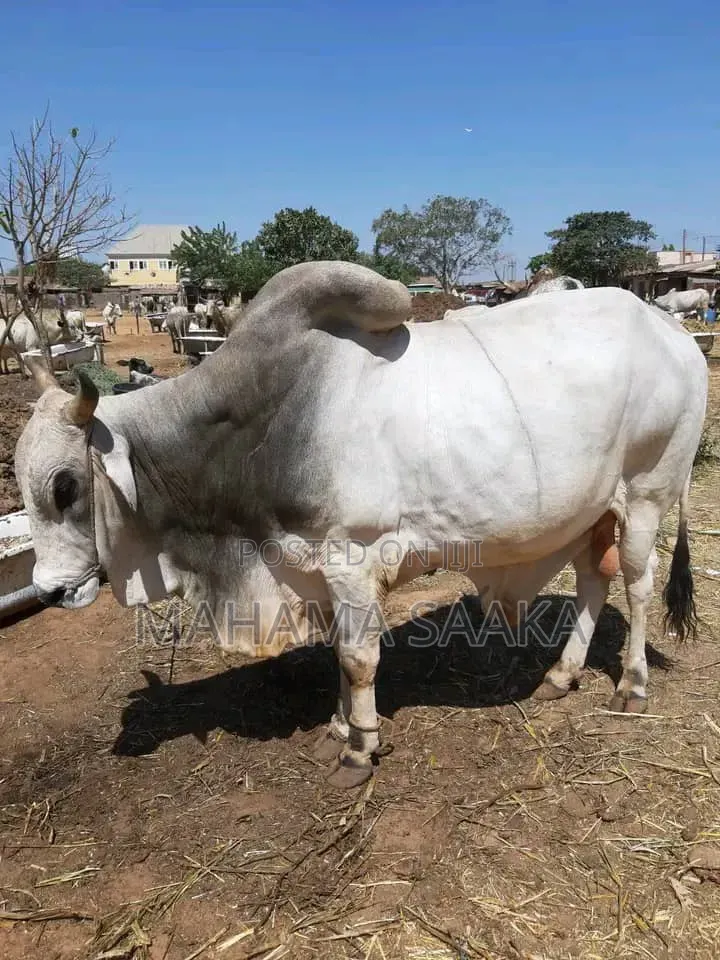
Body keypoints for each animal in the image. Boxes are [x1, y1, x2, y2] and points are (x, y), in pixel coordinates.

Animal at [15, 262, 708, 790]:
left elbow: (358, 658)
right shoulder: (311, 568)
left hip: (648, 493)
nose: (52, 589)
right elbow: (336, 658)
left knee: (638, 584)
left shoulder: (351, 559)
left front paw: (359, 749)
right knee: (593, 580)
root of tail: (673, 331)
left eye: (65, 485)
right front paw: (338, 729)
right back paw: (561, 676)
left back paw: (632, 687)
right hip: (595, 510)